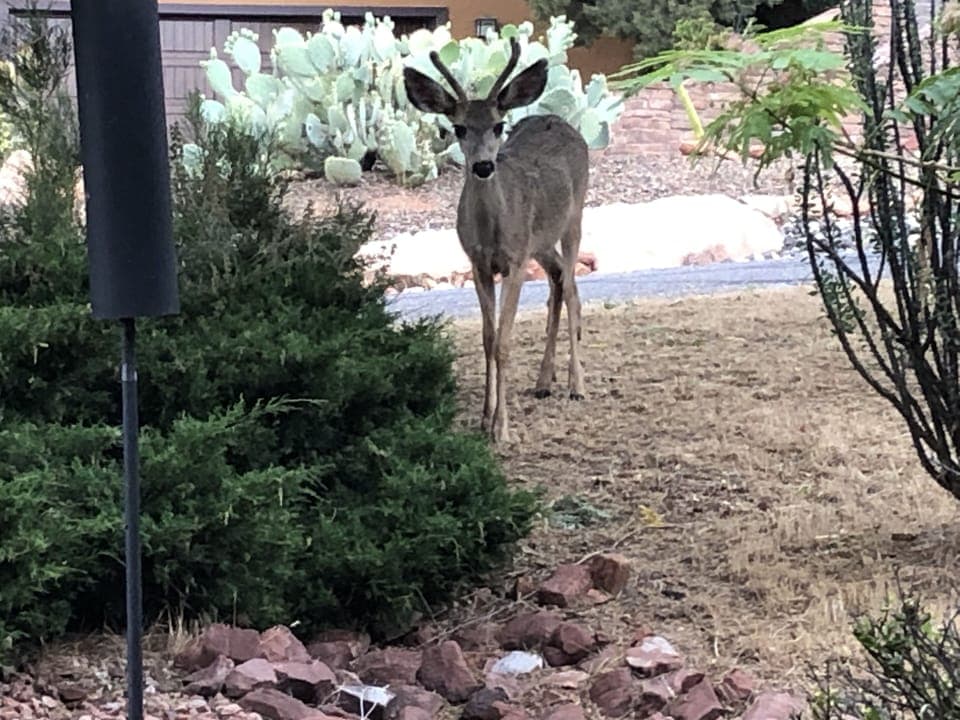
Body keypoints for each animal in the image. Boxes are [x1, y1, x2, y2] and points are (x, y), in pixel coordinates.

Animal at [402, 36, 589, 444]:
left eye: (499, 124)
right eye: (457, 128)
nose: (484, 166)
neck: (492, 231)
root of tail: (561, 121)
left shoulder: (515, 261)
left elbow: (503, 341)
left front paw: (502, 428)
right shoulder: (478, 264)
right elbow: (488, 339)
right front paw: (484, 420)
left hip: (574, 217)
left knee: (571, 288)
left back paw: (576, 384)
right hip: (541, 241)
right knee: (557, 279)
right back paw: (543, 380)